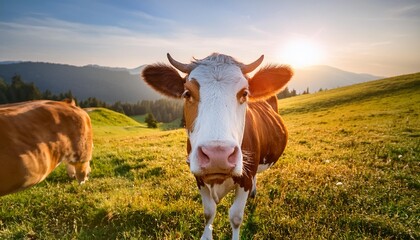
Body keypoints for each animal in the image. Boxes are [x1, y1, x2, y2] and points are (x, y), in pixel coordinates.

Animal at [141, 53, 292, 239]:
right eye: (187, 93)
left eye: (245, 93)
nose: (217, 155)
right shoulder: (198, 178)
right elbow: (209, 212)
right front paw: (206, 235)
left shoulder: (246, 178)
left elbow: (236, 216)